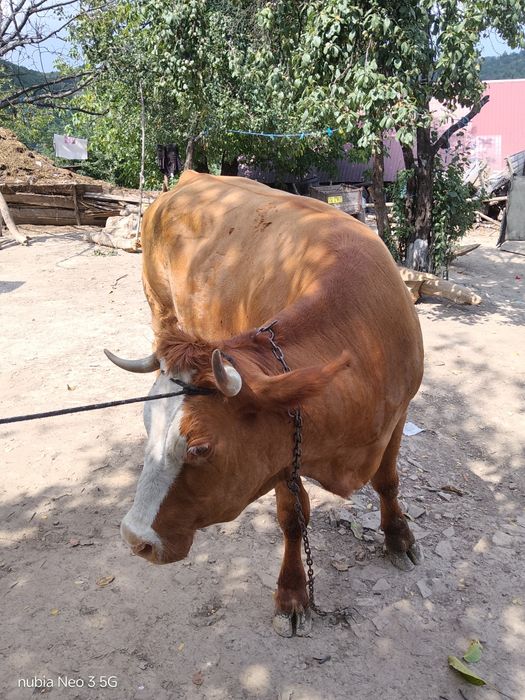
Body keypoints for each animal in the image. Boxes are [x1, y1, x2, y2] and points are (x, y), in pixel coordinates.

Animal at [105, 170, 424, 637]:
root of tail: (191, 177)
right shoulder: (281, 449)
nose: (133, 537)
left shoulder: (398, 415)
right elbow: (293, 517)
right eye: (147, 426)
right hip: (158, 304)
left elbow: (388, 480)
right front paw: (292, 594)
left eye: (200, 447)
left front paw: (398, 535)